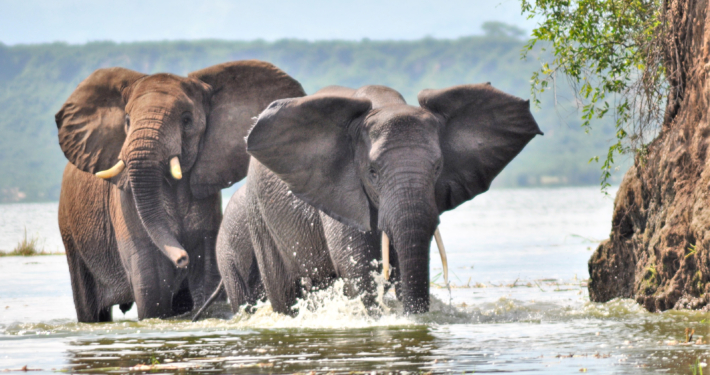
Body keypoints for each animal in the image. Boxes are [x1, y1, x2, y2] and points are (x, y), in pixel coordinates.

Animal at [57, 60, 308, 322]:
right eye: (127, 121)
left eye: (186, 121)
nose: (181, 258)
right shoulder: (125, 206)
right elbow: (152, 288)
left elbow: (204, 274)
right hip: (71, 233)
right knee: (90, 306)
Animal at [214, 83, 544, 316]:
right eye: (372, 172)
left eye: (438, 168)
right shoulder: (343, 192)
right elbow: (360, 272)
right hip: (259, 217)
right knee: (285, 292)